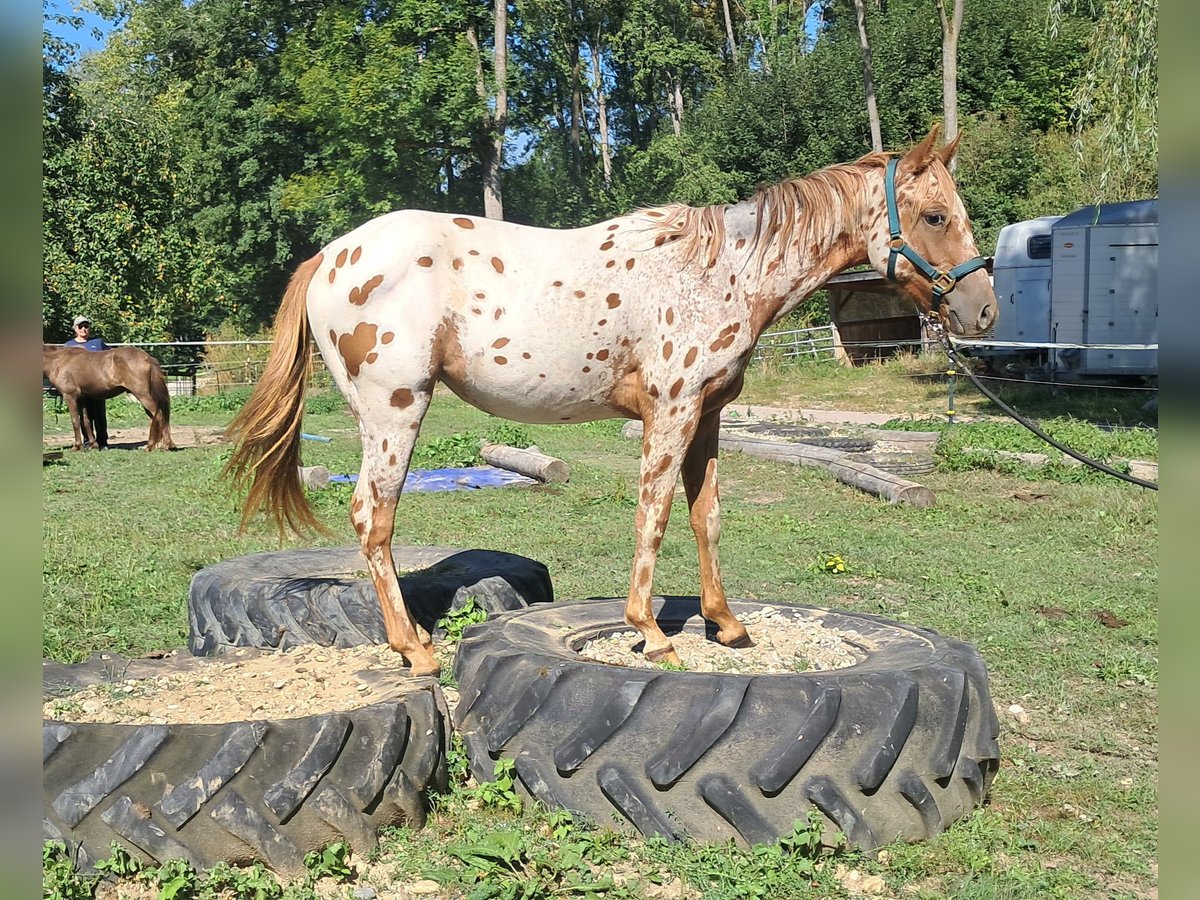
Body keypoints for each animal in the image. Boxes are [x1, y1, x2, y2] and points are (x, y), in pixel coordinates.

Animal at [42, 345, 175, 451]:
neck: (58, 361)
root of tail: (147, 358)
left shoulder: (70, 396)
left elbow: (75, 421)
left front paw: (77, 446)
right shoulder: (81, 399)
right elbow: (86, 421)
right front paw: (93, 445)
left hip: (143, 395)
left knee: (159, 415)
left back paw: (159, 445)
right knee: (156, 417)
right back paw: (159, 445)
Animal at [223, 125, 993, 676]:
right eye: (933, 216)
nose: (983, 310)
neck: (719, 270)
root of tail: (329, 257)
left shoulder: (708, 416)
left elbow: (706, 518)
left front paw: (726, 624)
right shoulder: (672, 411)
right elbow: (654, 517)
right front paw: (651, 632)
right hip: (394, 413)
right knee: (372, 518)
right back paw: (413, 648)